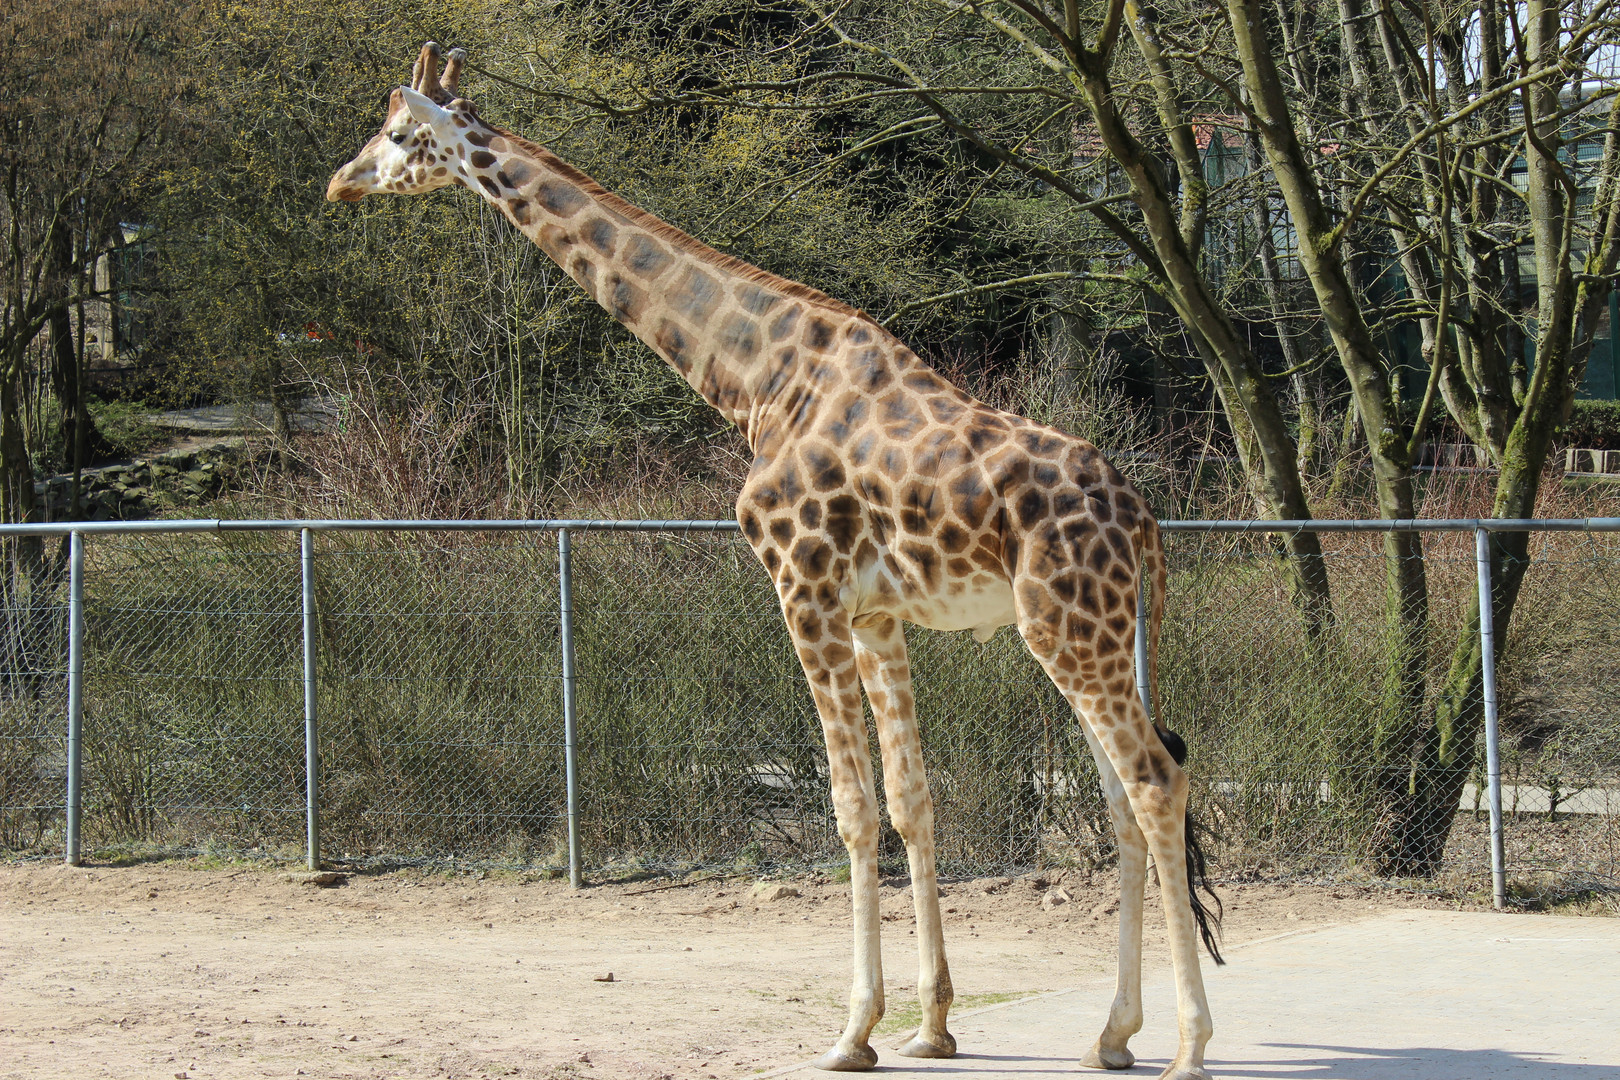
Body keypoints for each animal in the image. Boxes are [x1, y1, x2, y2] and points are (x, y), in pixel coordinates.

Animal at [325, 44, 1218, 1080]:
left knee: (1155, 781)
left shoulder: (802, 589)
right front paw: (932, 1026)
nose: (341, 181)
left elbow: (850, 807)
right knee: (1121, 796)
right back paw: (1112, 1034)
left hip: (1070, 629)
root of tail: (1142, 519)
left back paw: (1191, 1046)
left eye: (396, 133)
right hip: (1078, 635)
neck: (756, 380)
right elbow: (910, 801)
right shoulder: (875, 616)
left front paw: (852, 1031)